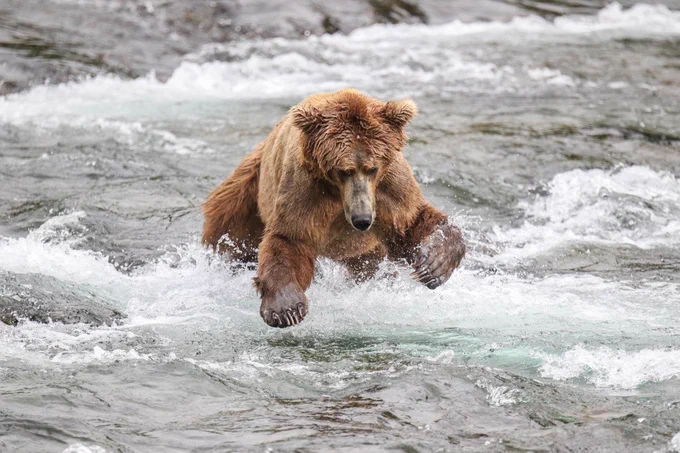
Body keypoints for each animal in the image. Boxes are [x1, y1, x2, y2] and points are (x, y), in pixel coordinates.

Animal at [202, 89, 465, 328]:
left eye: (373, 168)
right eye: (343, 170)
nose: (362, 220)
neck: (338, 194)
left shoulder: (390, 191)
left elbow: (411, 223)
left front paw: (434, 265)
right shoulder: (305, 191)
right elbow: (290, 238)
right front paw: (286, 308)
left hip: (363, 250)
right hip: (248, 191)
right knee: (228, 229)